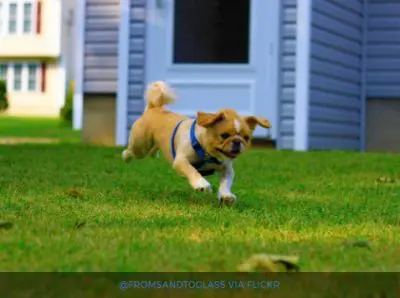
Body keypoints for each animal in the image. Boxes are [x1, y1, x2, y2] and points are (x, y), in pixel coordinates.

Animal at [122, 81, 272, 207]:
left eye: (246, 138)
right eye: (224, 135)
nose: (237, 141)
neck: (208, 152)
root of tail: (154, 108)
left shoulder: (227, 169)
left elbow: (226, 183)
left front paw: (226, 196)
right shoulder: (181, 161)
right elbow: (192, 170)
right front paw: (202, 185)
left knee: (153, 149)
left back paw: (154, 154)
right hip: (140, 145)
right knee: (131, 151)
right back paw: (126, 157)